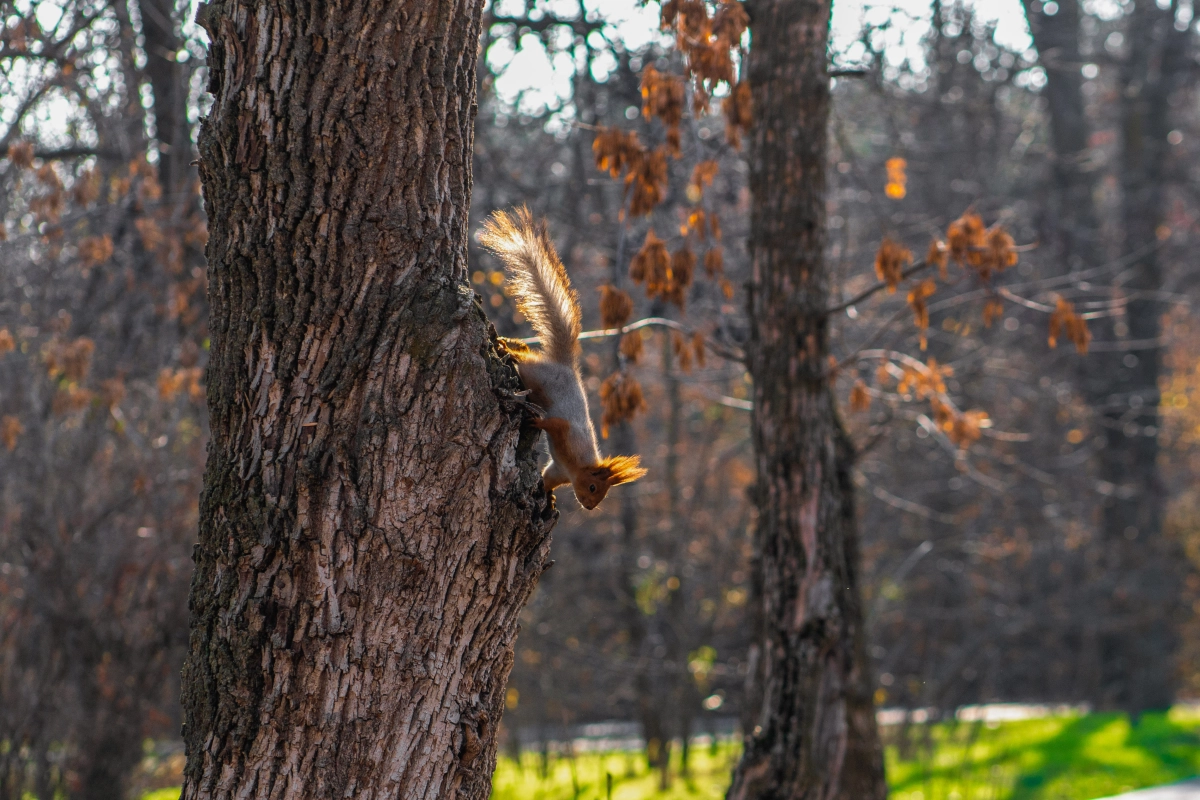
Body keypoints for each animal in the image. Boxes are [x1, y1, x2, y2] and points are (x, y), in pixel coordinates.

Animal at [480, 206, 648, 506]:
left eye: (600, 495)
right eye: (593, 488)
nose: (590, 507)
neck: (576, 467)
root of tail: (565, 365)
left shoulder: (557, 470)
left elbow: (547, 479)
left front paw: (547, 496)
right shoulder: (568, 434)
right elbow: (554, 423)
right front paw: (537, 421)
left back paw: (511, 344)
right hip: (536, 376)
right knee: (526, 363)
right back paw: (508, 349)